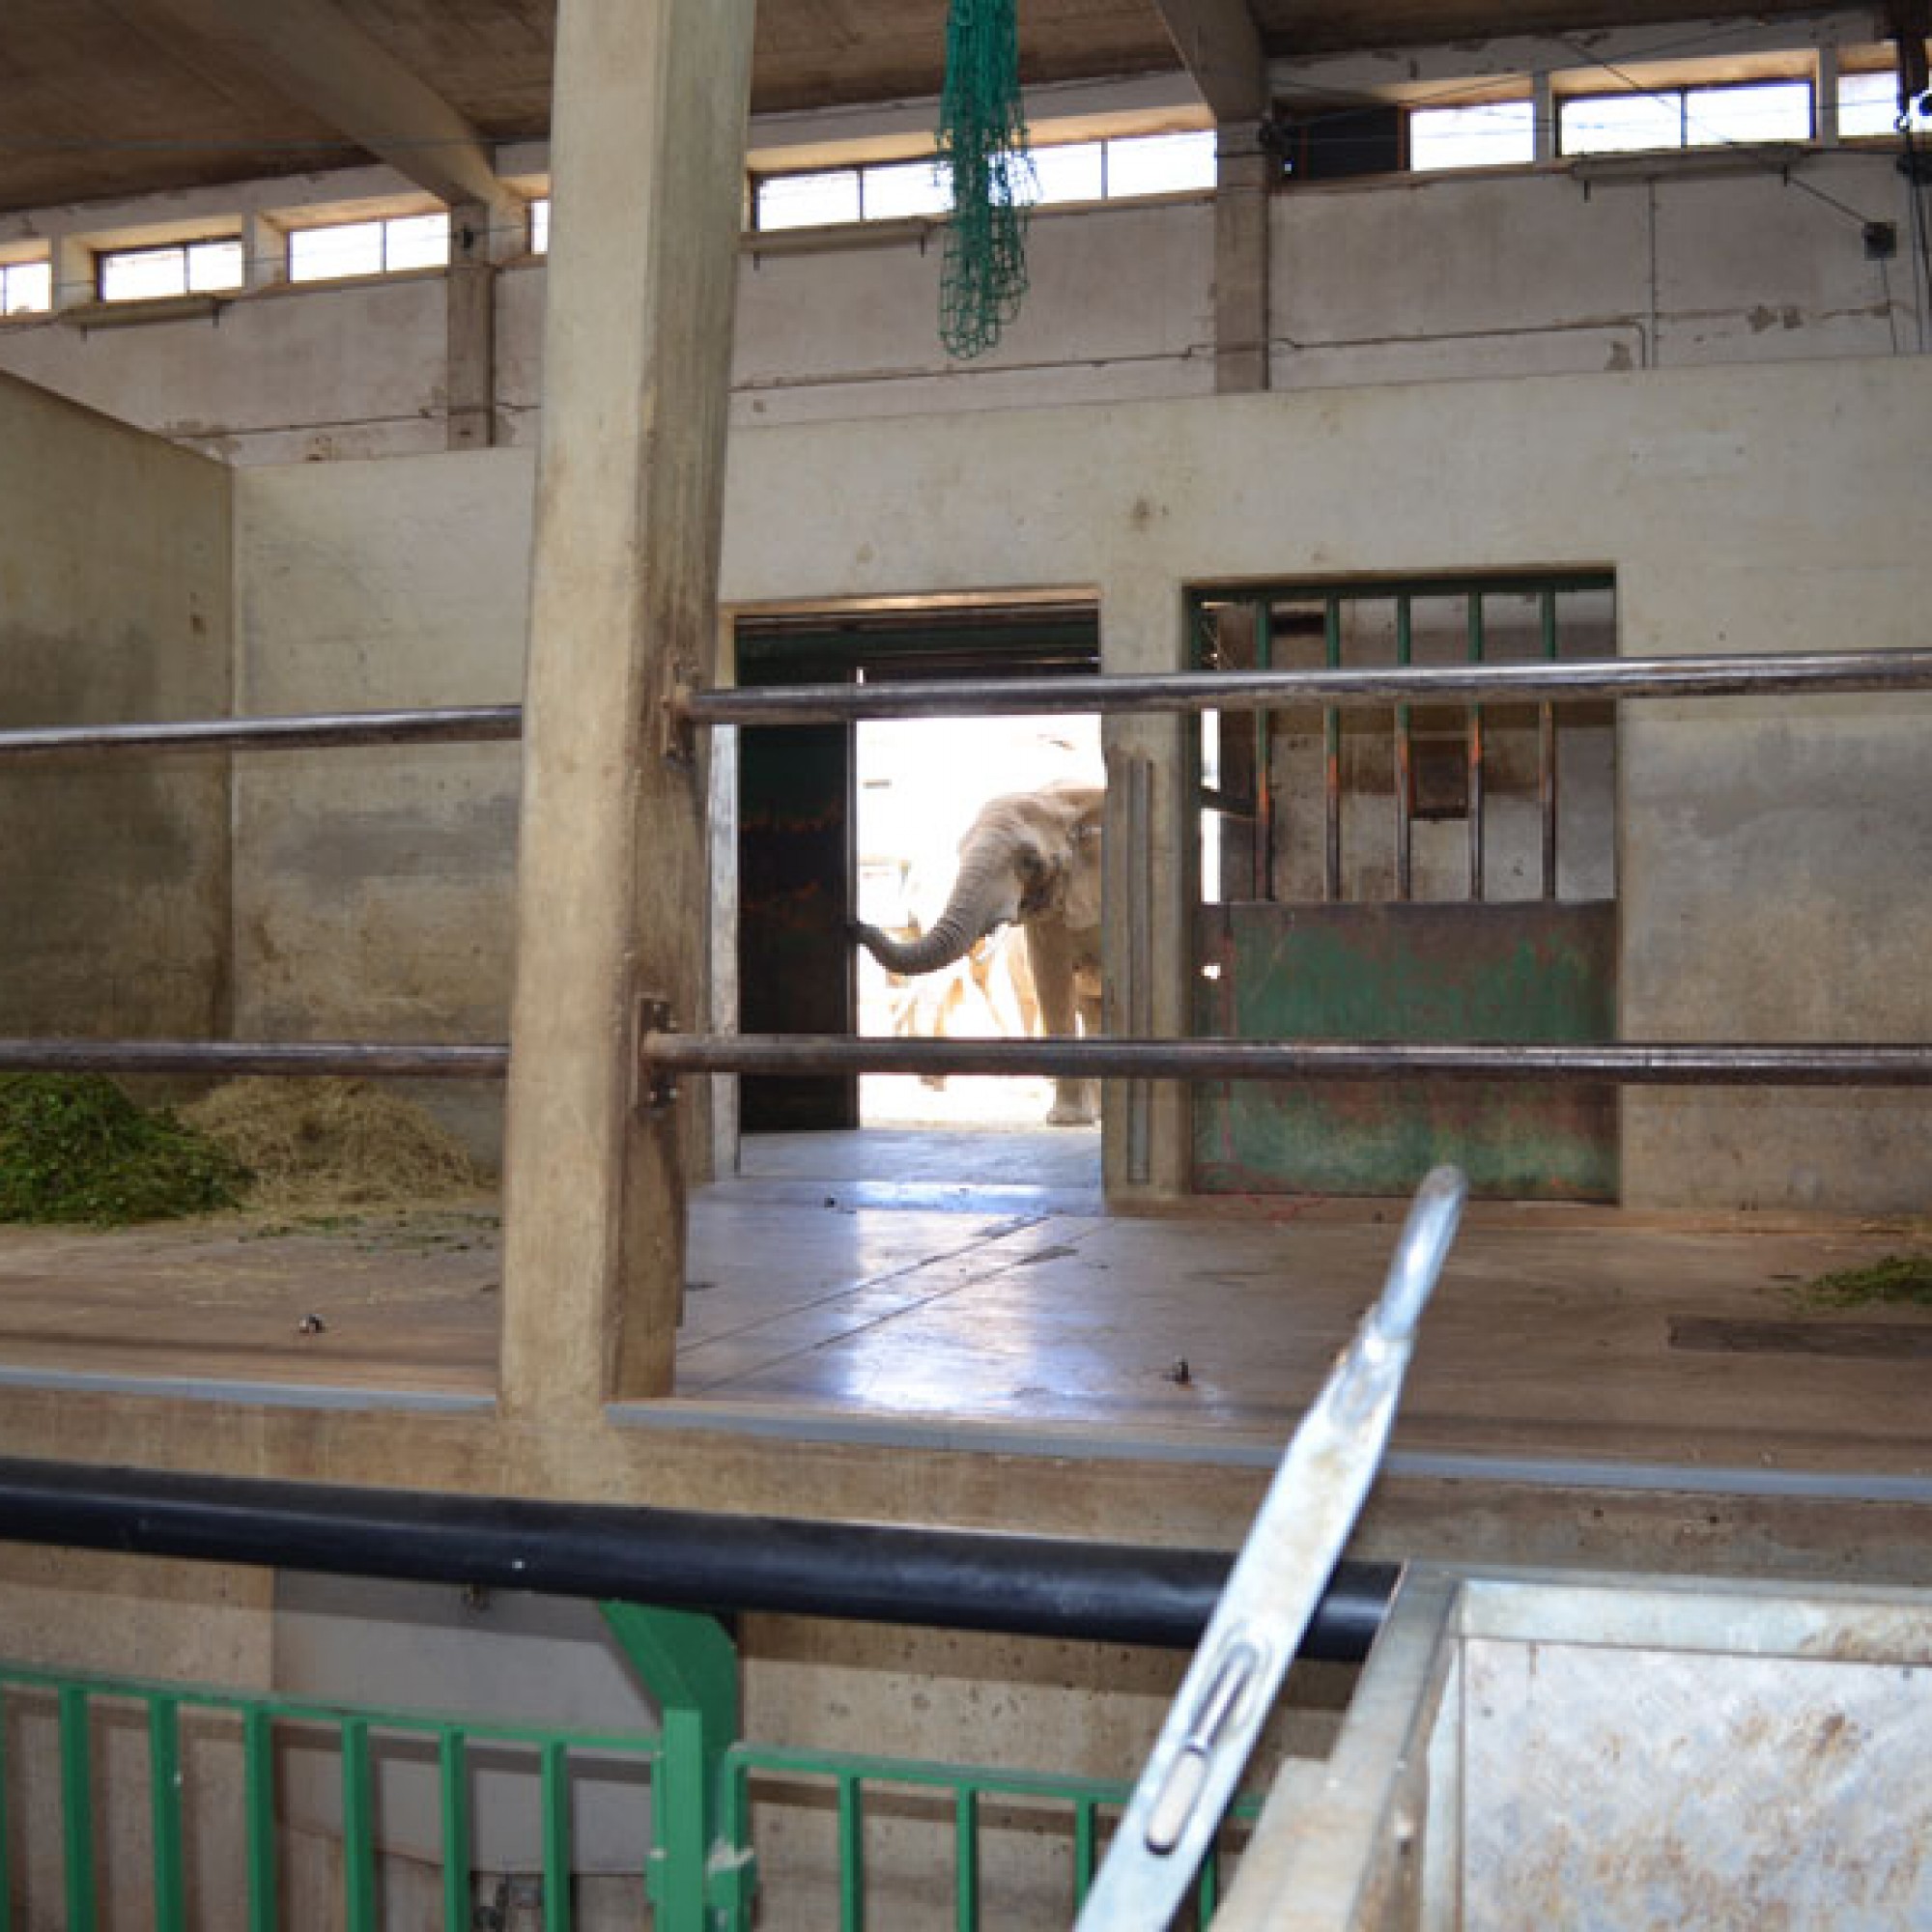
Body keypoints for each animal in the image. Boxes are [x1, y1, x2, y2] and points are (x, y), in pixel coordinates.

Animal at [858, 777, 1105, 1128]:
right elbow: (1052, 982)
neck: (1061, 798)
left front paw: (1067, 1120)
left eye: (1030, 861)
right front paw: (1067, 1121)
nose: (855, 925)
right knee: (1090, 1007)